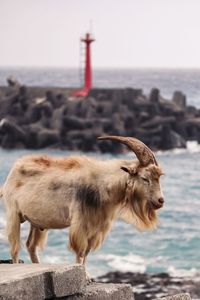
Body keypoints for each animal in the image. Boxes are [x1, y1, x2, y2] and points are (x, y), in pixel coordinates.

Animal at [0, 136, 164, 276]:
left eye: (158, 178)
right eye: (144, 178)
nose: (160, 200)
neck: (102, 184)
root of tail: (12, 173)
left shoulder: (96, 228)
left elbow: (86, 253)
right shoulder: (81, 223)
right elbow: (80, 251)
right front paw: (86, 276)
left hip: (37, 222)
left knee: (31, 245)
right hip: (14, 214)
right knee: (15, 247)